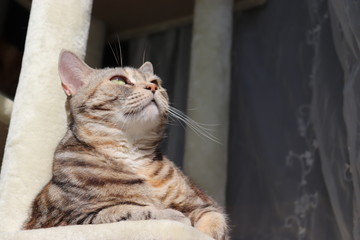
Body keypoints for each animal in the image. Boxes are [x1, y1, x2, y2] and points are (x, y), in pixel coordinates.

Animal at [23, 49, 228, 239]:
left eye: (156, 82)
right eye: (119, 80)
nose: (152, 87)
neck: (133, 153)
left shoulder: (203, 202)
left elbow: (213, 220)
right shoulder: (66, 220)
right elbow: (129, 210)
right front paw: (173, 215)